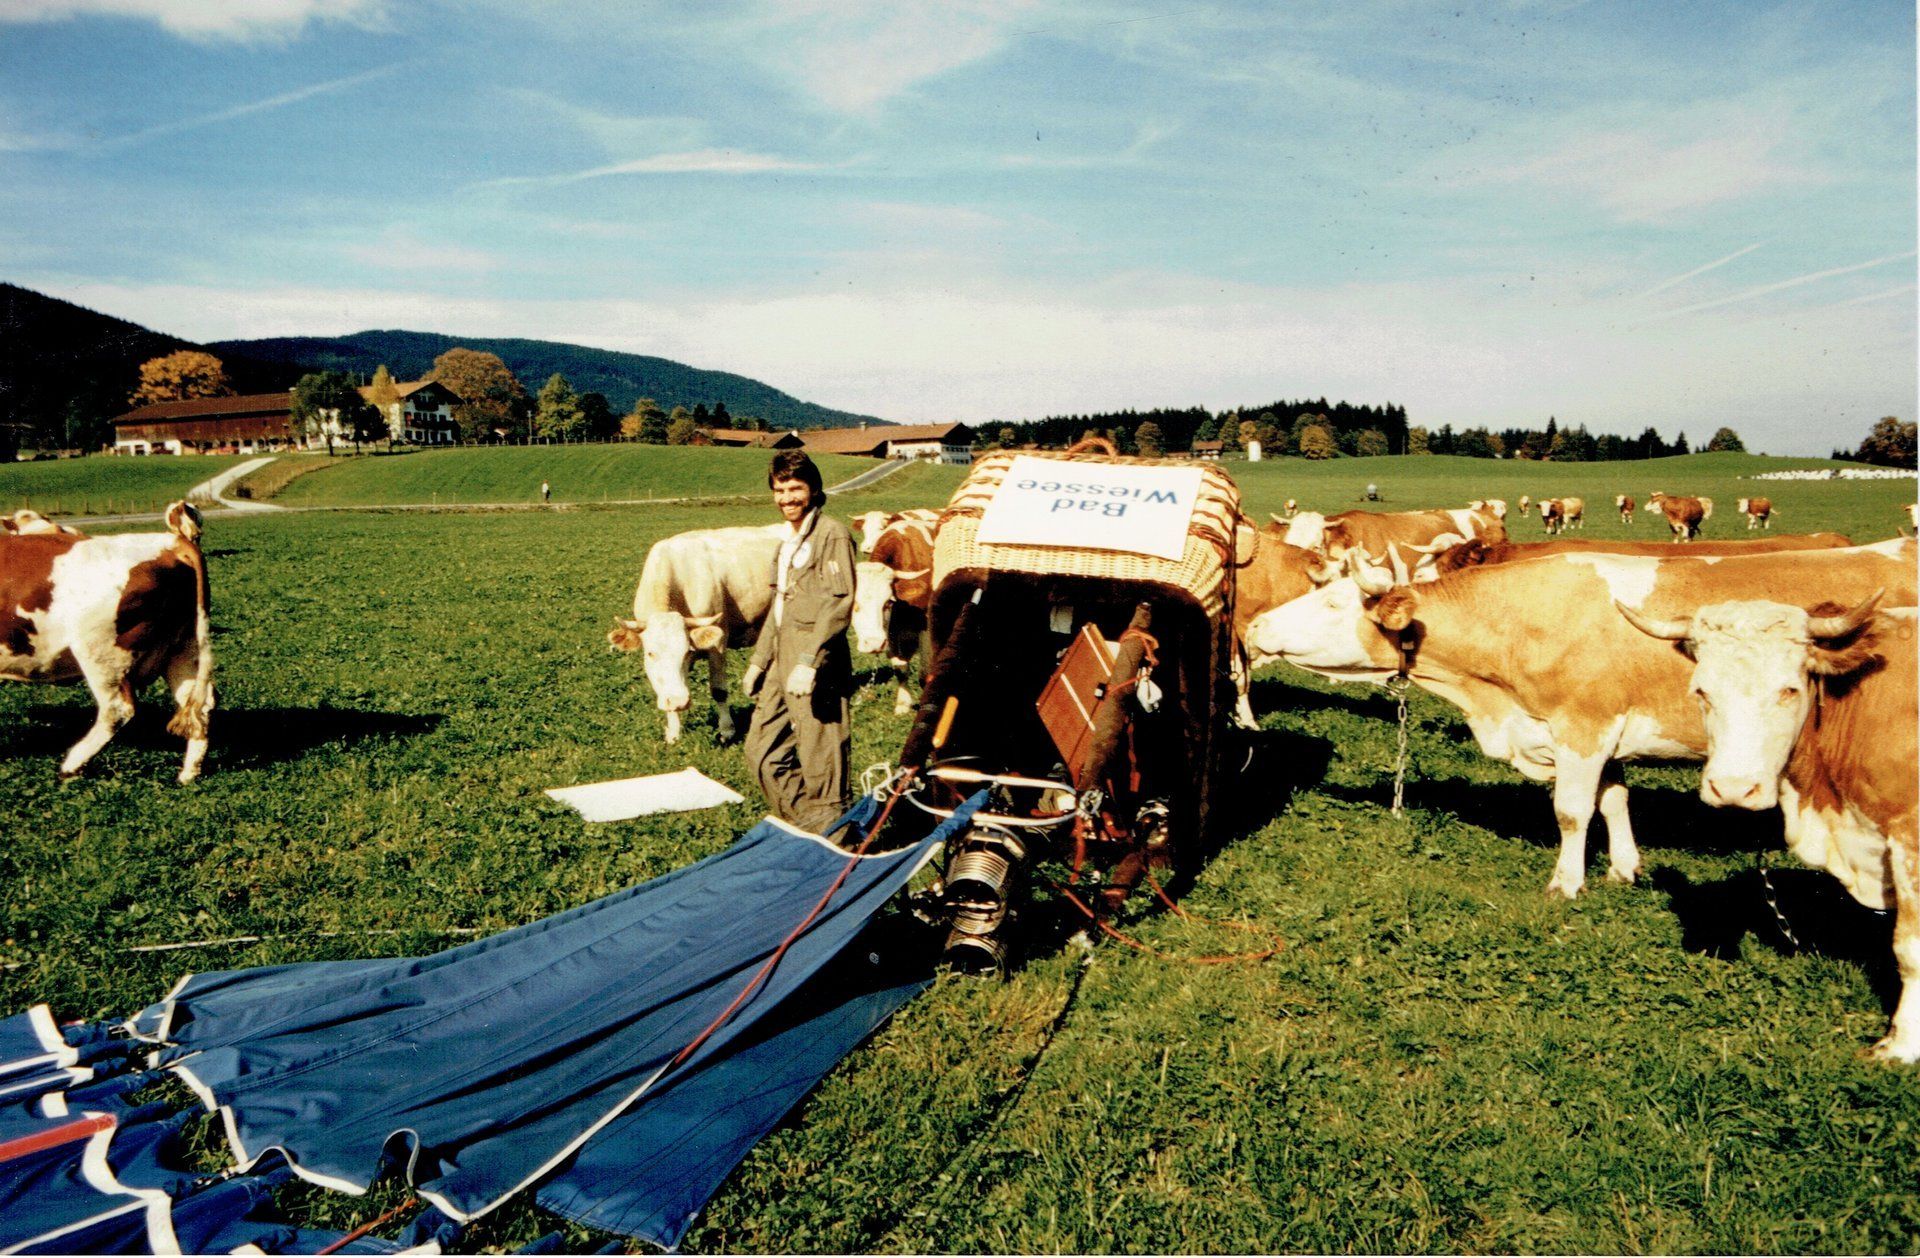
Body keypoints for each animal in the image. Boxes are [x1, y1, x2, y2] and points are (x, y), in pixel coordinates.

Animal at [0, 501, 214, 783]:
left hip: (101, 654)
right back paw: (189, 773)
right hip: (184, 648)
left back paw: (72, 765)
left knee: (118, 709)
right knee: (199, 705)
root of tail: (171, 543)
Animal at [608, 524, 784, 743]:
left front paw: (727, 729)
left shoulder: (718, 643)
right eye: (650, 653)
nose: (679, 701)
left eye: (685, 652)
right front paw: (674, 731)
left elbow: (718, 689)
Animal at [851, 513, 937, 714]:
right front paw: (903, 705)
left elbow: (925, 672)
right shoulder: (891, 632)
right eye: (854, 604)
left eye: (888, 602)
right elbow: (900, 667)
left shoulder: (925, 627)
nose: (874, 644)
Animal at [1242, 539, 1915, 899]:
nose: (1254, 626)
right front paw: (1623, 867)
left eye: (1333, 603)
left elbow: (1571, 811)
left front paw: (1566, 883)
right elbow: (1613, 802)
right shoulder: (1604, 737)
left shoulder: (1582, 728)